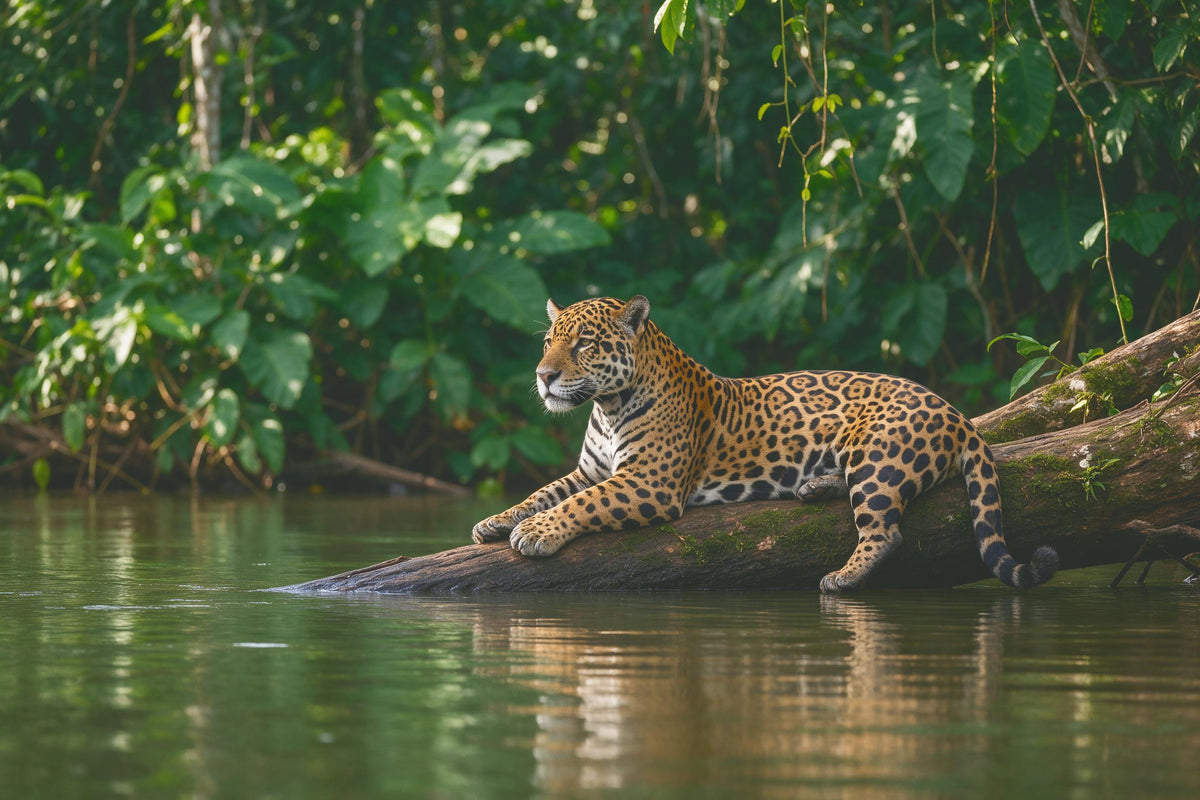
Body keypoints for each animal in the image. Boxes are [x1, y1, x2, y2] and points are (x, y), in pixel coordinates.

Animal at [471, 295, 1059, 592]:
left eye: (585, 344)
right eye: (548, 342)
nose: (544, 376)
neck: (608, 406)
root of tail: (956, 413)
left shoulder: (648, 483)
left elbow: (580, 504)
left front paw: (534, 533)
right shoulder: (592, 470)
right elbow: (545, 491)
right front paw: (496, 521)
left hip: (877, 456)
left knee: (885, 531)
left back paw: (840, 578)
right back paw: (813, 487)